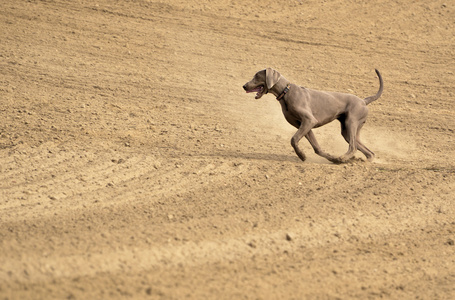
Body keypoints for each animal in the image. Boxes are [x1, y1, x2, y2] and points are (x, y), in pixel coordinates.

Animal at [244, 67, 382, 163]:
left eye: (257, 76)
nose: (244, 86)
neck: (286, 92)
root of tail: (364, 101)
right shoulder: (304, 125)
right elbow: (317, 148)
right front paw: (331, 158)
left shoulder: (309, 120)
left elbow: (293, 139)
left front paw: (302, 155)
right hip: (347, 130)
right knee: (368, 152)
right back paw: (362, 161)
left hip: (351, 122)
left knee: (353, 147)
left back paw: (343, 158)